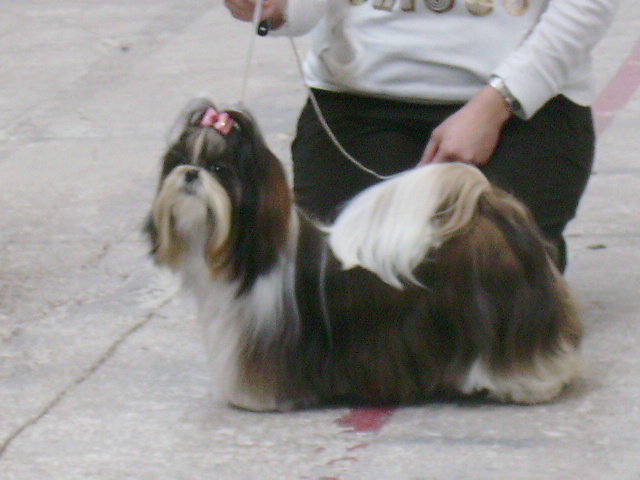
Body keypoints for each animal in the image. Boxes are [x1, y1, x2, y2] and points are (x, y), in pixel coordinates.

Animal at [144, 98, 582, 412]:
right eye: (180, 160)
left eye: (220, 169)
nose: (190, 174)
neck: (246, 251)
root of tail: (497, 209)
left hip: (506, 318)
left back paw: (530, 384)